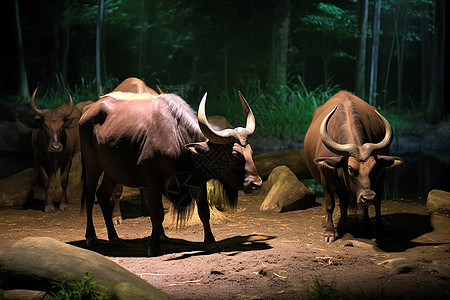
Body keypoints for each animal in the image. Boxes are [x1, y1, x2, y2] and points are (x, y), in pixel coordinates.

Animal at [79, 91, 262, 255]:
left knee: (103, 196)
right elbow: (157, 213)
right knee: (90, 196)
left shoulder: (198, 182)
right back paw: (91, 237)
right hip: (92, 166)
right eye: (235, 154)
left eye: (250, 152)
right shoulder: (153, 181)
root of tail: (86, 113)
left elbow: (204, 212)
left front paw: (210, 242)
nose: (256, 183)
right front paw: (153, 246)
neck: (178, 140)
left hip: (112, 172)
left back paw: (114, 238)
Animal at [304, 91, 402, 241]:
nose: (368, 197)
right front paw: (329, 232)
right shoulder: (326, 181)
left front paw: (374, 228)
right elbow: (330, 204)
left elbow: (376, 203)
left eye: (374, 167)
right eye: (350, 168)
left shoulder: (379, 179)